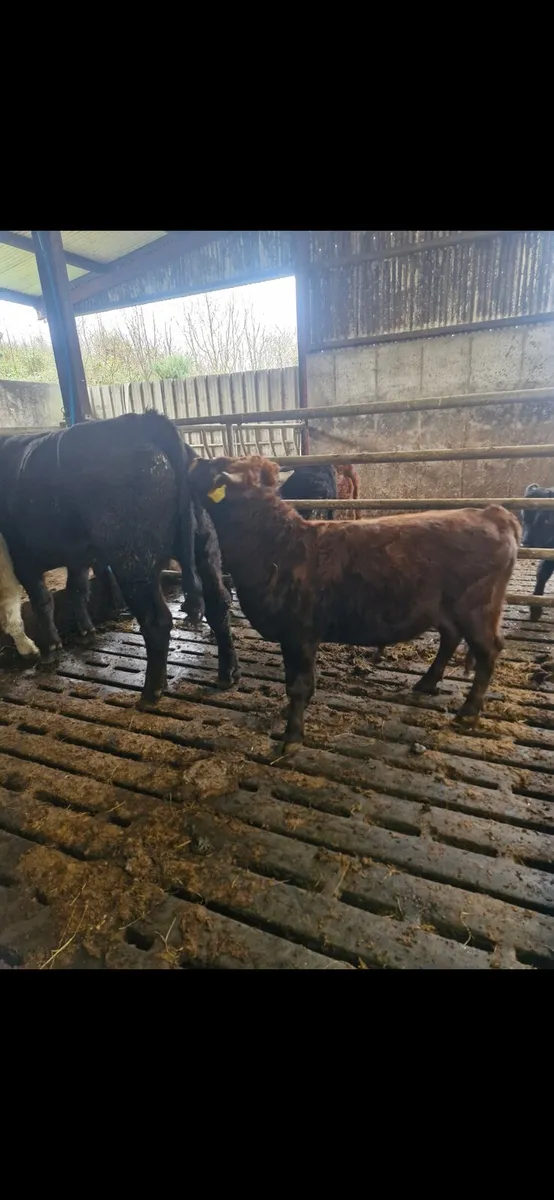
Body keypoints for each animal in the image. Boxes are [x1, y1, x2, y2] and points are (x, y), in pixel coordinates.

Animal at [0, 412, 239, 706]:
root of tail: (145, 421)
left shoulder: (23, 557)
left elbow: (41, 602)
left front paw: (50, 649)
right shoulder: (77, 555)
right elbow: (77, 589)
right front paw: (86, 630)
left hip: (132, 560)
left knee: (156, 621)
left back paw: (151, 691)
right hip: (204, 545)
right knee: (219, 603)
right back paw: (228, 673)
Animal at [189, 454, 519, 751]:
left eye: (217, 464)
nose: (195, 460)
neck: (278, 546)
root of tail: (492, 513)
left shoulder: (300, 633)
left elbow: (298, 684)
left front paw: (292, 736)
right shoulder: (291, 636)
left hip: (477, 608)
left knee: (488, 651)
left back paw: (468, 712)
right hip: (446, 608)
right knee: (451, 638)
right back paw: (426, 684)